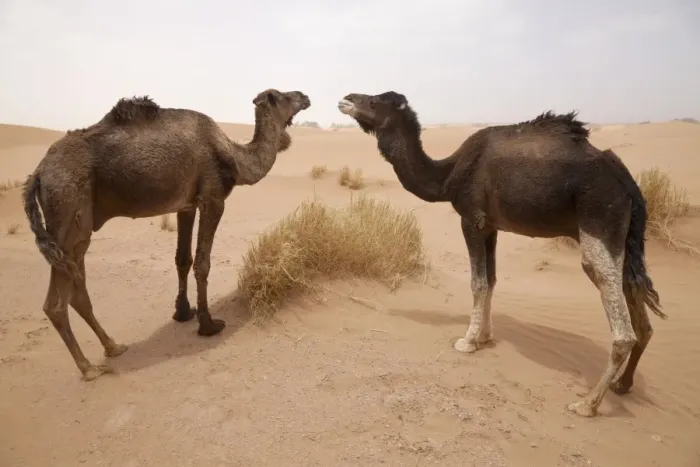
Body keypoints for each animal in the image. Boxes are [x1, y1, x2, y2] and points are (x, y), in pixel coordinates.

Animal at [23, 88, 311, 381]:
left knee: (78, 292)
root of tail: (39, 173)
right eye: (284, 96)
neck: (233, 155)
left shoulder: (186, 205)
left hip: (77, 230)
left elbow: (182, 260)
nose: (305, 96)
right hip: (68, 210)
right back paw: (88, 367)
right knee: (55, 304)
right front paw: (208, 324)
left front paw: (183, 312)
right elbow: (202, 263)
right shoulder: (213, 199)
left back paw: (113, 347)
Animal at [337, 91, 666, 417]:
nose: (346, 98)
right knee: (641, 312)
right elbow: (492, 280)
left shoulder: (471, 218)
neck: (448, 175)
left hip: (599, 219)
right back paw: (623, 384)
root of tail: (629, 184)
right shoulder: (491, 226)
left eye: (375, 101)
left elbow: (478, 283)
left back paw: (587, 404)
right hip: (625, 238)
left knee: (617, 317)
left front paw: (467, 341)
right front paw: (484, 337)